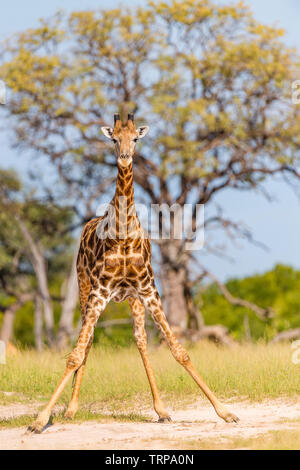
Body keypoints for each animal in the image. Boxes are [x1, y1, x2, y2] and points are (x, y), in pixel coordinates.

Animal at [28, 112, 239, 432]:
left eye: (136, 139)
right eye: (114, 138)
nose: (125, 157)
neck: (124, 234)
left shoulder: (149, 289)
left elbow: (179, 350)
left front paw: (225, 412)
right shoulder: (100, 291)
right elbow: (75, 354)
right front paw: (40, 419)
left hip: (132, 298)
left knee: (140, 338)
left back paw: (161, 409)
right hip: (83, 287)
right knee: (87, 339)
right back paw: (71, 409)